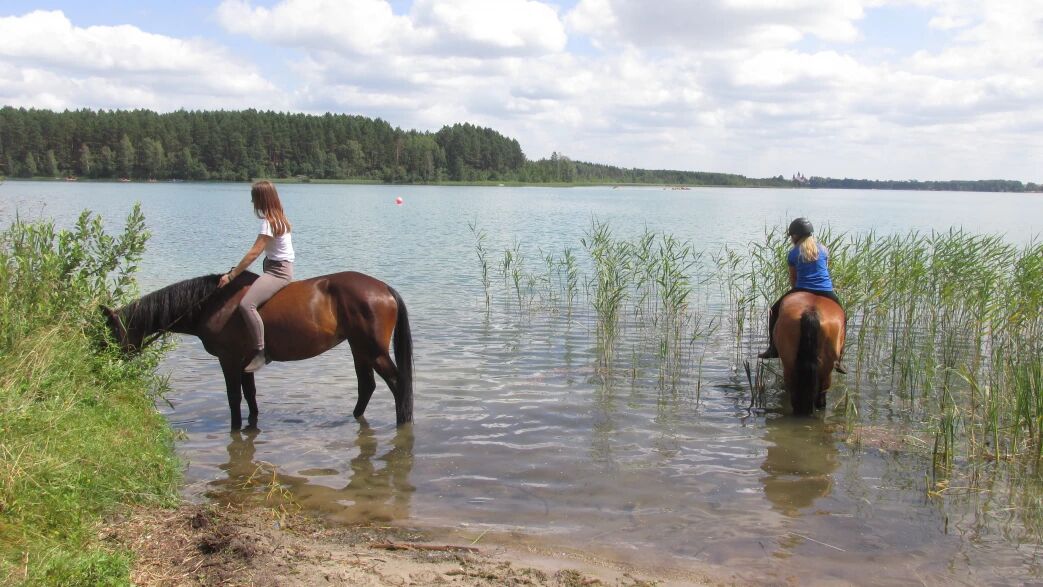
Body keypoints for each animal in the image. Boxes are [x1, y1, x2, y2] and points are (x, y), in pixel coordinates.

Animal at [100, 271, 413, 431]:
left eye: (107, 335)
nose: (101, 367)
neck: (212, 303)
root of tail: (384, 288)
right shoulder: (243, 362)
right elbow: (250, 396)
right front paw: (250, 426)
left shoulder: (228, 360)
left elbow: (233, 399)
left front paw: (235, 428)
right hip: (358, 348)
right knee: (367, 386)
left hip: (372, 350)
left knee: (398, 383)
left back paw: (403, 421)